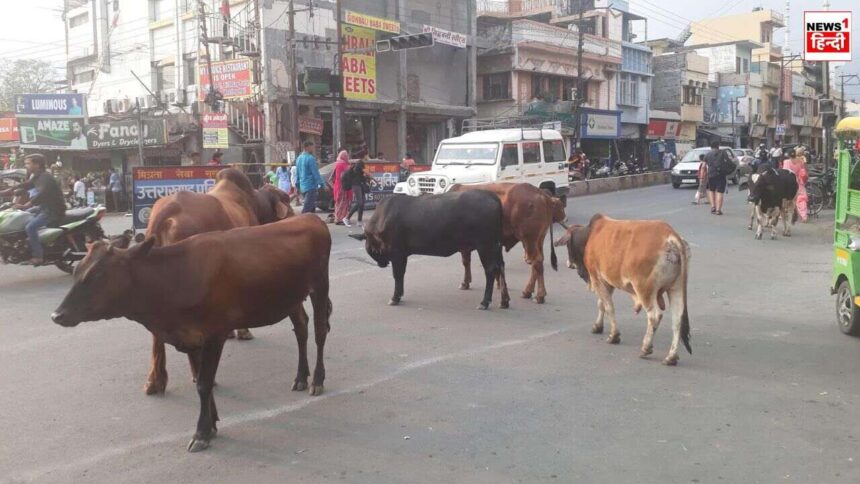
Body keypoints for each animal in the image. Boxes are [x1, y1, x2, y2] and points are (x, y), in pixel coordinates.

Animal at [52, 214, 330, 452]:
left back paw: (316, 380)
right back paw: (301, 377)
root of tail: (310, 217)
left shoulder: (215, 334)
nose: (57, 315)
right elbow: (200, 380)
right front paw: (212, 423)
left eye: (98, 274)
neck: (176, 278)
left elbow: (204, 384)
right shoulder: (190, 338)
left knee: (319, 332)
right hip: (291, 297)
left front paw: (201, 433)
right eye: (77, 270)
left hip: (319, 286)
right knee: (301, 328)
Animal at [143, 168, 294, 396]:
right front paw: (243, 331)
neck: (254, 202)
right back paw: (199, 375)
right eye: (286, 198)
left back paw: (155, 381)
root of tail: (167, 212)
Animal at [352, 190, 510, 308]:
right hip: (496, 247)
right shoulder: (402, 254)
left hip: (485, 246)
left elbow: (398, 275)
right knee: (500, 267)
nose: (382, 264)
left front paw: (395, 297)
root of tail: (491, 196)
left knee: (491, 270)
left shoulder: (397, 253)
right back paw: (504, 301)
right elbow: (401, 275)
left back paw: (485, 302)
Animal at [556, 214, 696, 364]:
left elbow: (608, 307)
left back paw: (646, 348)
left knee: (654, 316)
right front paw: (598, 326)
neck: (590, 235)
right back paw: (671, 357)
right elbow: (602, 304)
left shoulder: (597, 278)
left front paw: (614, 336)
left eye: (568, 245)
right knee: (677, 320)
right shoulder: (607, 282)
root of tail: (670, 235)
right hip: (676, 288)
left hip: (644, 289)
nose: (568, 263)